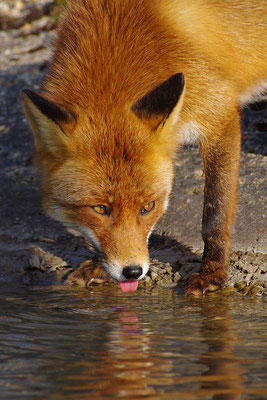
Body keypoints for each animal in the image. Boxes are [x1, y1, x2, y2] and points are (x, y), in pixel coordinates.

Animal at [22, 0, 267, 294]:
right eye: (100, 209)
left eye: (148, 207)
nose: (133, 271)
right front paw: (98, 268)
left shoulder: (220, 111)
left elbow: (215, 210)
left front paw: (213, 272)